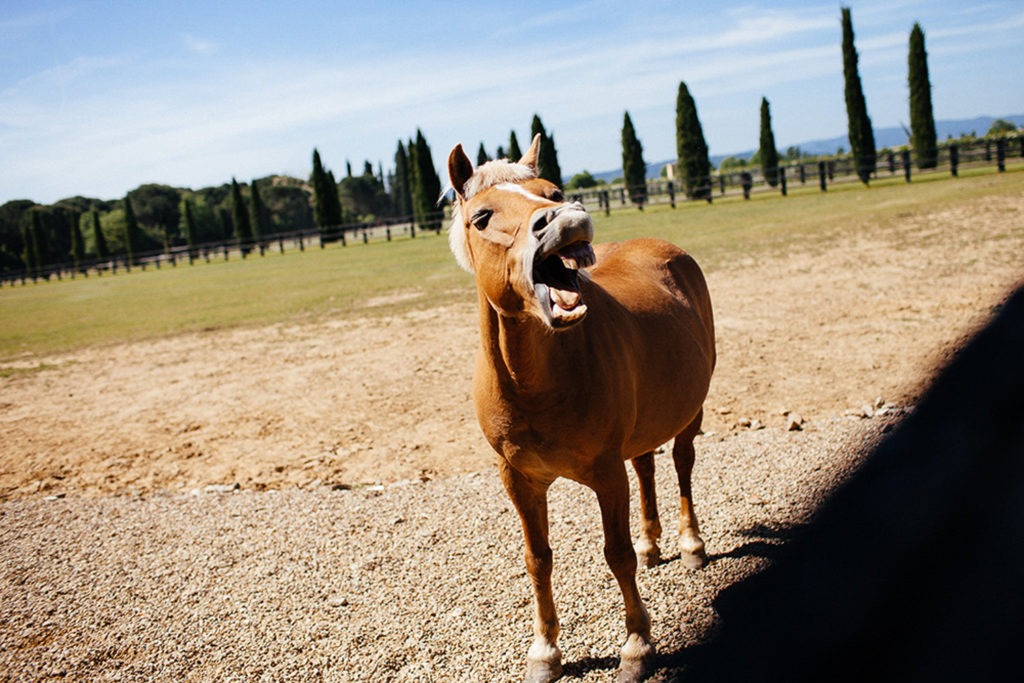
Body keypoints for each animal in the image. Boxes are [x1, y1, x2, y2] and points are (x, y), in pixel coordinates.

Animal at [444, 135, 716, 683]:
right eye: (482, 216)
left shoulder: (606, 474)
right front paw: (545, 652)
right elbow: (538, 560)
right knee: (647, 466)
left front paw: (636, 646)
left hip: (689, 414)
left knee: (681, 466)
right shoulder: (518, 481)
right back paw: (653, 545)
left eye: (552, 191)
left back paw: (690, 545)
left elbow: (616, 555)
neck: (533, 385)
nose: (566, 219)